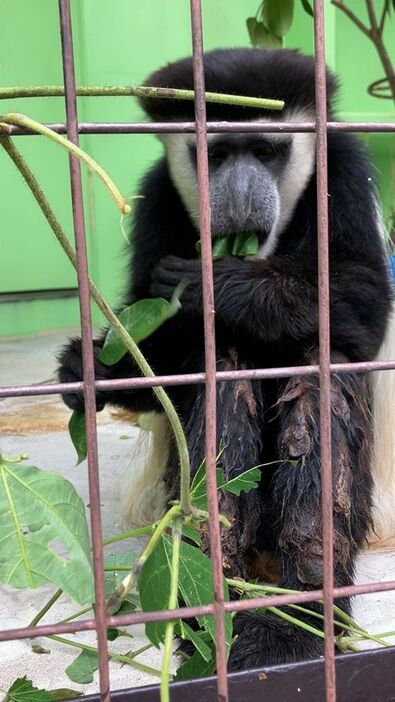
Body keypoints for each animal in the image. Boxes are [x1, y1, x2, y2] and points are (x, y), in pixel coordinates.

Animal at [57, 51, 394, 672]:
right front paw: (90, 367)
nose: (237, 193)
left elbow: (365, 301)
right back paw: (207, 604)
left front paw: (217, 285)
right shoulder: (158, 198)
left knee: (323, 360)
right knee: (224, 372)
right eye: (214, 155)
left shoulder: (343, 171)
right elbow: (155, 360)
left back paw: (299, 618)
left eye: (264, 151)